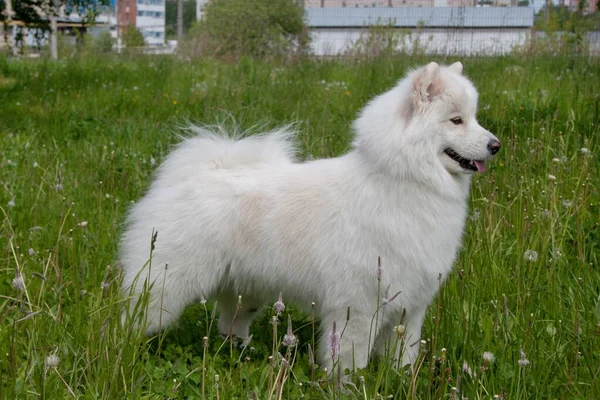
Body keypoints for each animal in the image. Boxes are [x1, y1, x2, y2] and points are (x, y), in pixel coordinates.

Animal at [119, 61, 500, 374]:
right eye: (456, 120)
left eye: (475, 118)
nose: (495, 145)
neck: (406, 183)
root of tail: (195, 174)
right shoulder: (357, 306)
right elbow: (349, 360)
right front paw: (349, 387)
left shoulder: (410, 307)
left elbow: (403, 357)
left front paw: (403, 381)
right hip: (165, 289)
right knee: (130, 321)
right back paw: (122, 354)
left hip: (245, 292)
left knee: (230, 326)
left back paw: (241, 355)